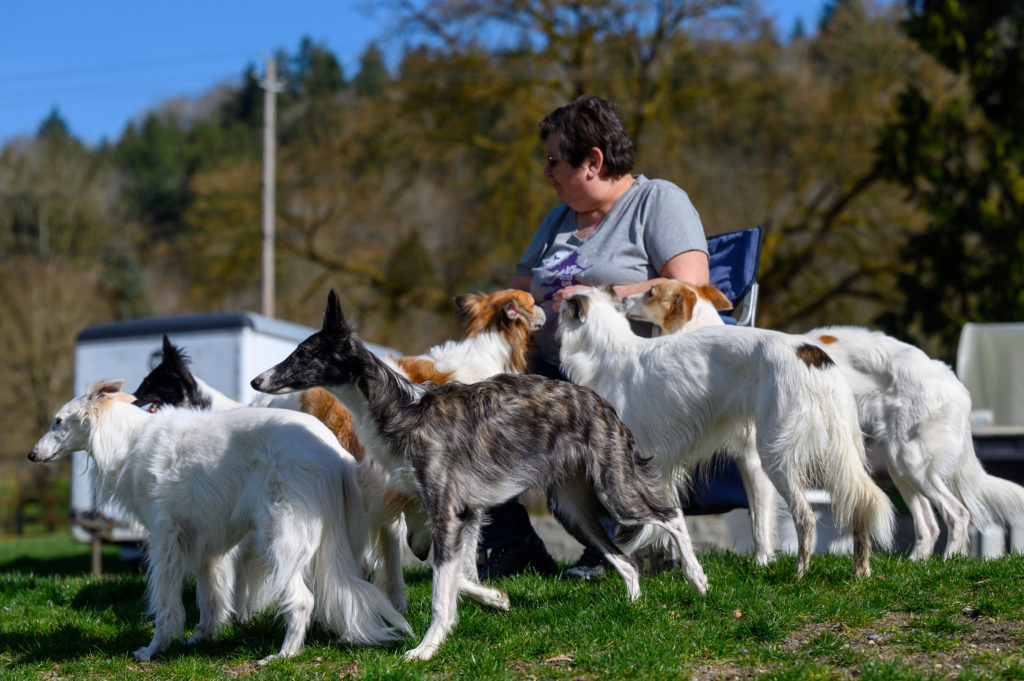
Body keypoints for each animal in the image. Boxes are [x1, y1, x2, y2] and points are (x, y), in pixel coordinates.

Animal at [25, 378, 407, 667]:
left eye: (58, 421)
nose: (31, 455)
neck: (130, 441)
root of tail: (334, 451)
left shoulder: (165, 540)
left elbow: (167, 606)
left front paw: (153, 649)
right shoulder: (208, 545)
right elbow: (210, 599)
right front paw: (201, 638)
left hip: (281, 539)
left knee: (302, 602)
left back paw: (283, 655)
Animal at [251, 290, 708, 659]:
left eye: (303, 355)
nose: (256, 379)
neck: (404, 410)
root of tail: (600, 402)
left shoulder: (446, 513)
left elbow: (442, 590)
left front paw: (425, 650)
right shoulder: (463, 515)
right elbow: (457, 578)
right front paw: (495, 600)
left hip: (615, 491)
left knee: (670, 516)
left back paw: (698, 580)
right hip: (574, 511)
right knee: (625, 561)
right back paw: (633, 603)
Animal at [552, 284, 897, 577]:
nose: (624, 299)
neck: (612, 351)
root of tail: (812, 353)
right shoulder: (660, 468)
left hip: (777, 455)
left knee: (806, 516)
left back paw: (799, 573)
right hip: (835, 452)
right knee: (860, 504)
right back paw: (860, 571)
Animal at [626, 278, 1024, 561]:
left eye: (651, 290)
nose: (621, 296)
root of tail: (952, 380)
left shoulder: (756, 456)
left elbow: (760, 522)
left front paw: (763, 563)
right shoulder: (744, 457)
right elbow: (756, 518)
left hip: (913, 463)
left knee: (958, 514)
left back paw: (949, 562)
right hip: (898, 465)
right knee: (928, 525)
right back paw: (915, 565)